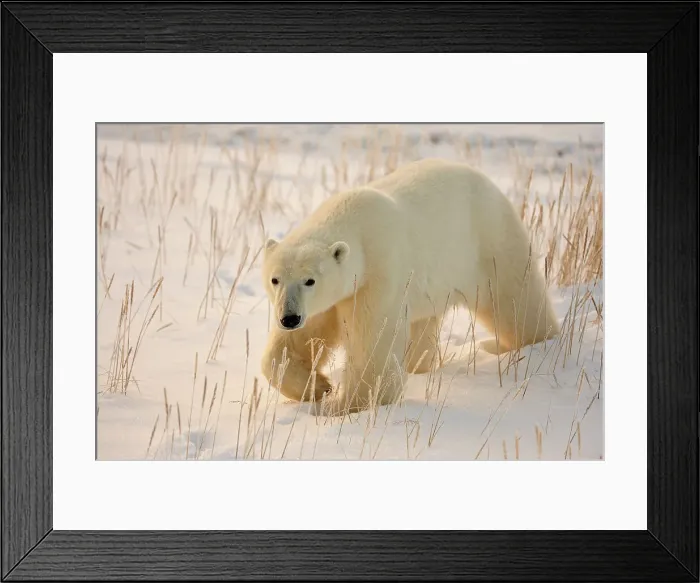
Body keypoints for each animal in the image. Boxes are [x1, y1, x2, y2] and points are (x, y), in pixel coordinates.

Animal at [260, 158, 560, 416]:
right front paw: (319, 386)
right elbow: (297, 342)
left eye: (310, 280)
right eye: (275, 279)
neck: (356, 222)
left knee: (516, 299)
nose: (289, 318)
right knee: (424, 326)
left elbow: (373, 344)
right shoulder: (330, 299)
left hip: (489, 243)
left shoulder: (378, 274)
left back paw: (530, 342)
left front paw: (348, 406)